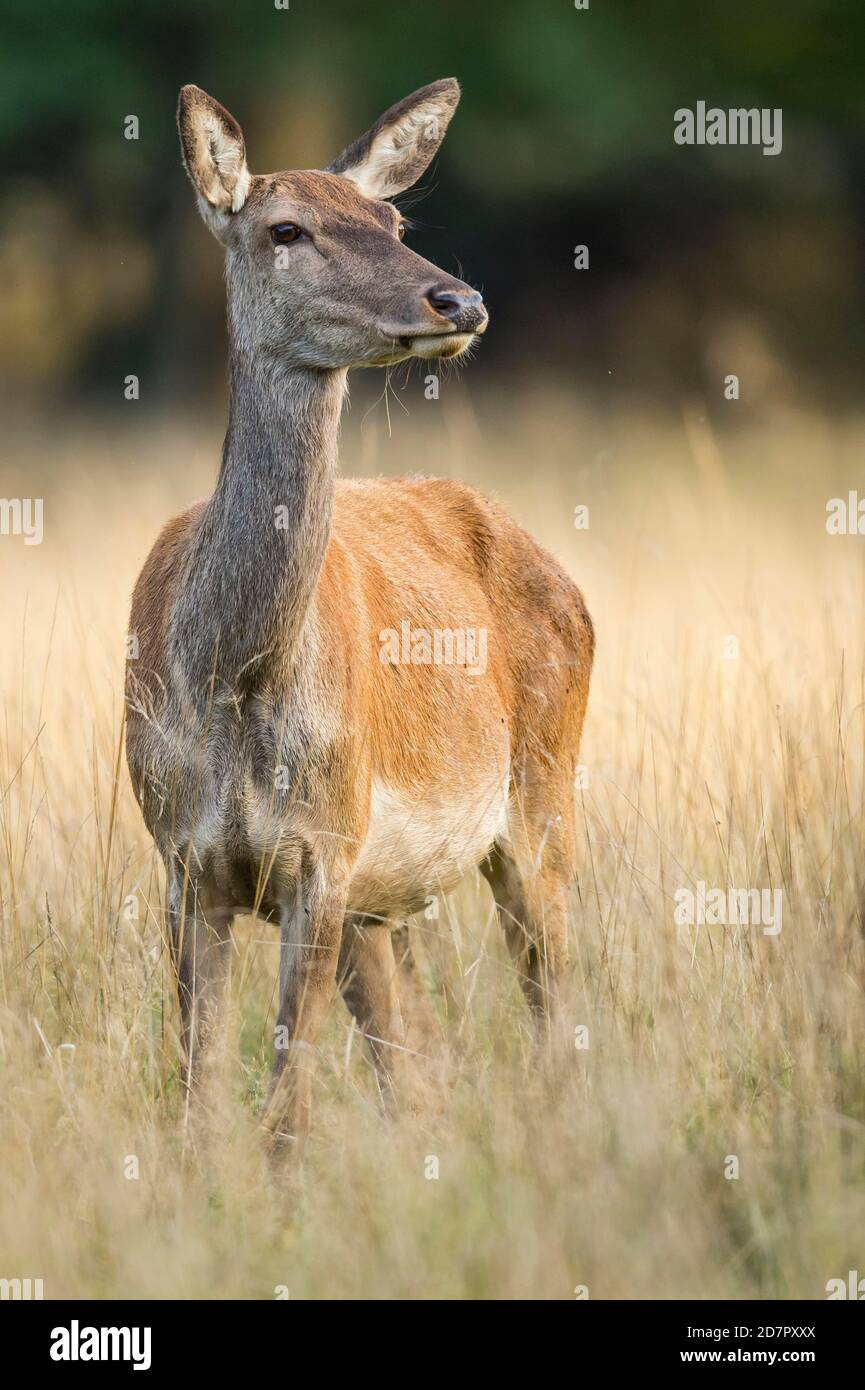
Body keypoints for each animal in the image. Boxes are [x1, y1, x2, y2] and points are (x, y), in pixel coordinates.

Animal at [123, 81, 595, 1156]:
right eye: (285, 229)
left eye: (392, 222)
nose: (457, 299)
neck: (232, 681)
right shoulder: (181, 858)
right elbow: (195, 1097)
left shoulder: (323, 852)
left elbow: (285, 1110)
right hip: (389, 903)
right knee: (423, 1066)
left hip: (542, 798)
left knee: (552, 1021)